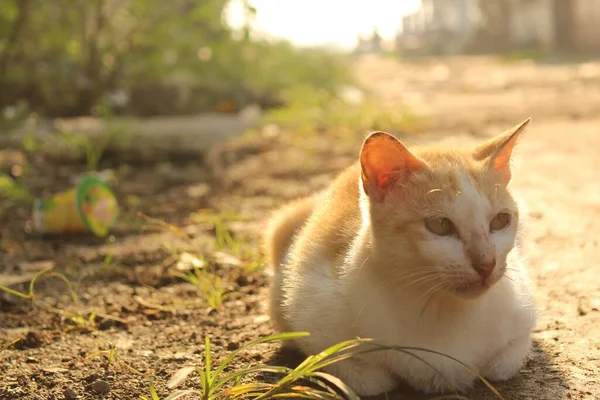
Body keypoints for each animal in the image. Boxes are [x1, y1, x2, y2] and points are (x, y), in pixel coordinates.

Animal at [264, 119, 536, 396]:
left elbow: (503, 364)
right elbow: (363, 376)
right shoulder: (306, 310)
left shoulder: (523, 315)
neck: (440, 309)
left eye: (500, 220)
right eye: (440, 225)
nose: (486, 264)